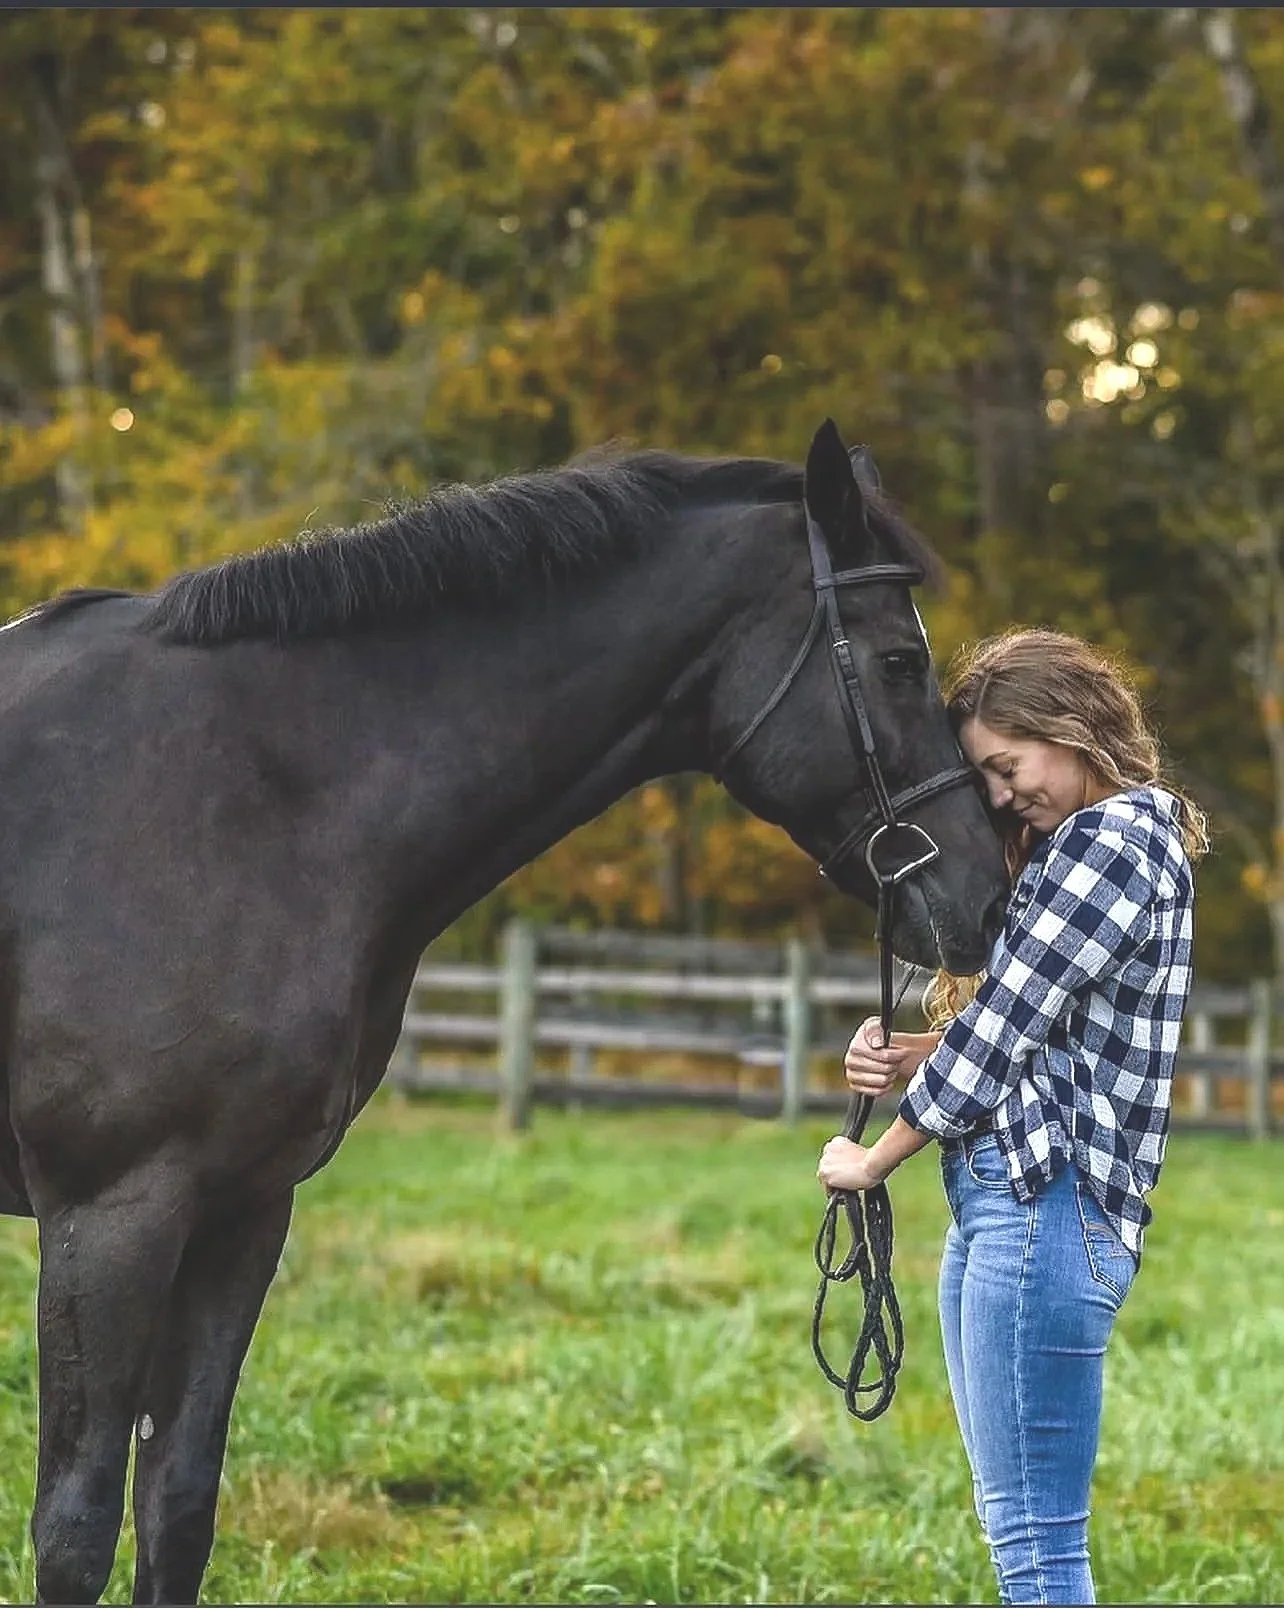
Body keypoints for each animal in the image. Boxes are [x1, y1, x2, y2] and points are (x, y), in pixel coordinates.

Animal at [0, 418, 1007, 1603]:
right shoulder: (111, 1212)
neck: (247, 800)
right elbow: (74, 1530)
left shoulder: (241, 1207)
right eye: (899, 660)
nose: (987, 900)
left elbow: (178, 1505)